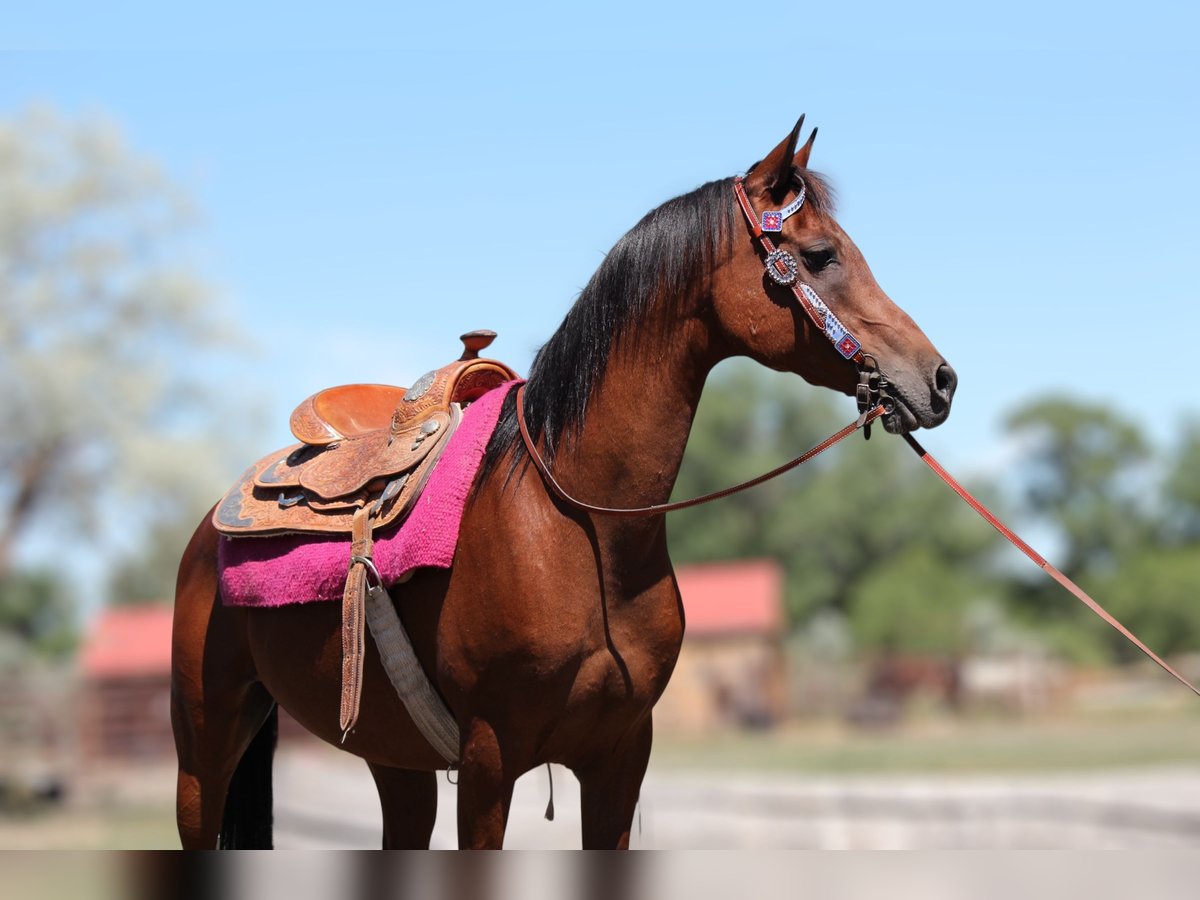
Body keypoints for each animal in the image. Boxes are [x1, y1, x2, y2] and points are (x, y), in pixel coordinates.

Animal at [171, 118, 957, 849]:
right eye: (821, 255)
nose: (939, 379)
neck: (583, 530)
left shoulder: (618, 760)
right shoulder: (488, 763)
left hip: (394, 763)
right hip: (205, 751)